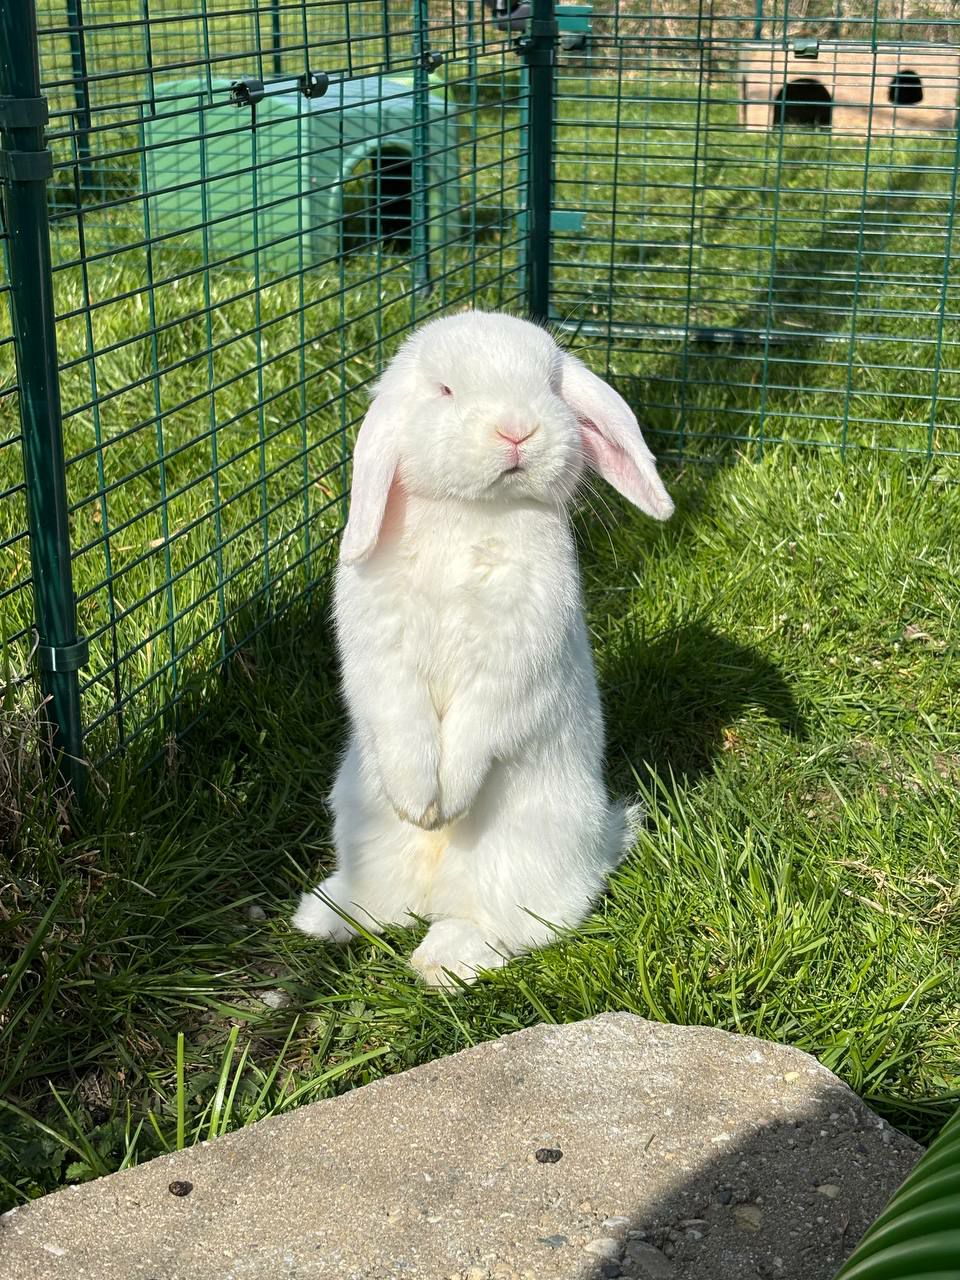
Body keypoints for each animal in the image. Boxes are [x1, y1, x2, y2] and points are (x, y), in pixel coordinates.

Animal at [292, 310, 673, 987]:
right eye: (445, 390)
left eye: (551, 386)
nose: (517, 429)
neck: (466, 513)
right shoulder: (382, 658)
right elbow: (402, 720)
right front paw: (423, 804)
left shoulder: (512, 659)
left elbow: (478, 725)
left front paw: (450, 801)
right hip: (360, 821)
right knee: (382, 905)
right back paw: (323, 915)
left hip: (520, 854)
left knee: (521, 926)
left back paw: (443, 958)